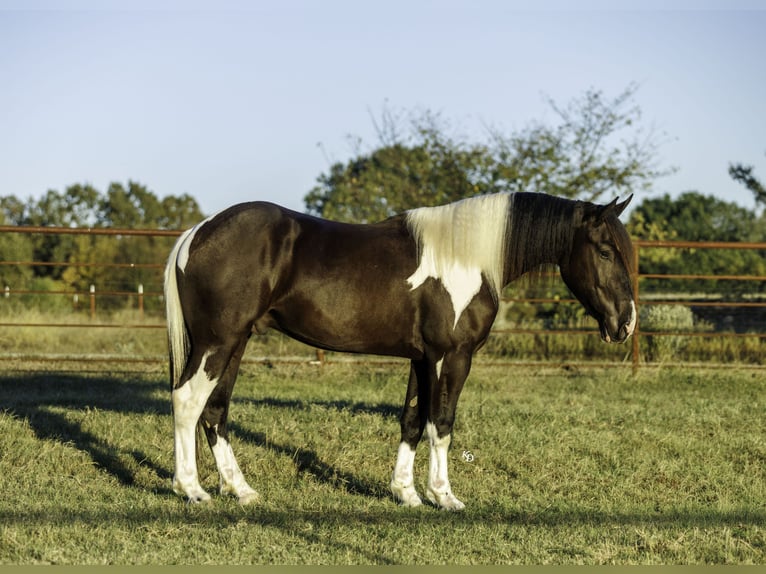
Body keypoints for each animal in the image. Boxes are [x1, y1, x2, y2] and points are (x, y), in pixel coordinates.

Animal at [164, 191, 636, 510]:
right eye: (605, 250)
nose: (626, 323)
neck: (467, 257)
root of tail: (195, 234)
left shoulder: (422, 357)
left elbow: (411, 420)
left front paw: (406, 493)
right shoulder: (452, 355)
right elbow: (441, 423)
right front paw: (444, 496)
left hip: (237, 342)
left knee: (215, 410)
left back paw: (240, 490)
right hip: (218, 341)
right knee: (188, 401)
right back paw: (192, 489)